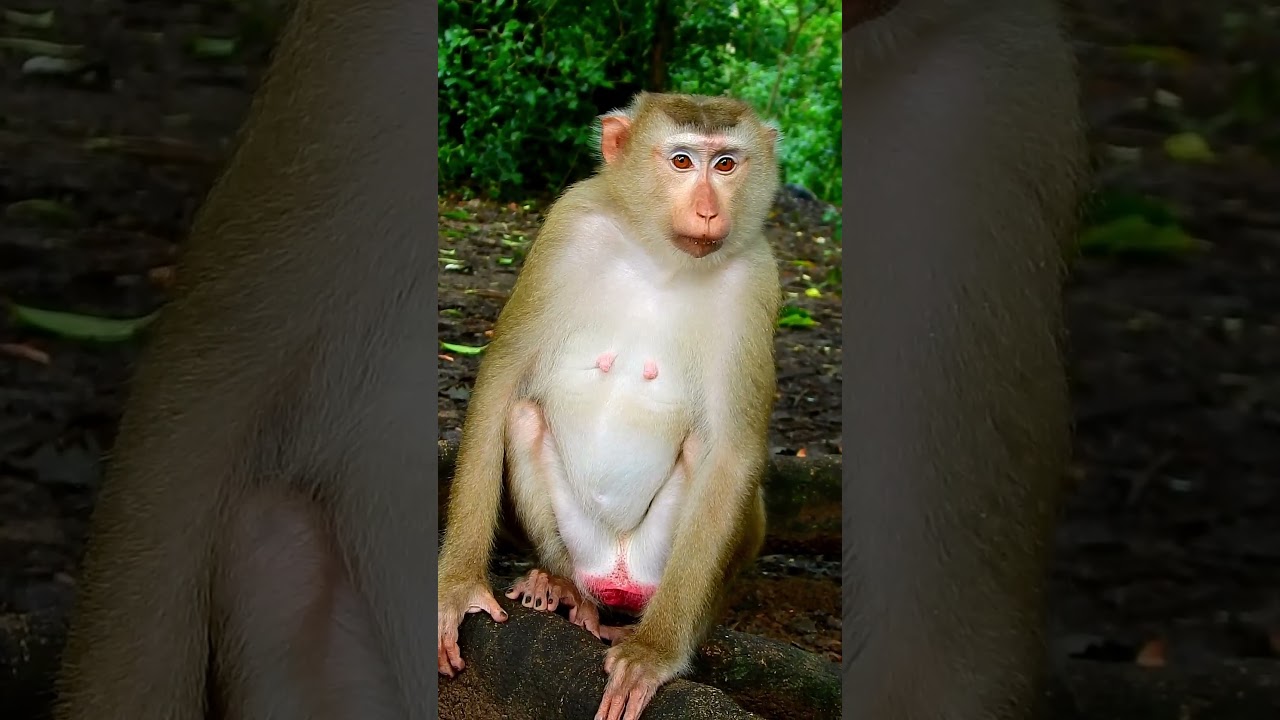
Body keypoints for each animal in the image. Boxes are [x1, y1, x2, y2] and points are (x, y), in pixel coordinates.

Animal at [436, 92, 782, 720]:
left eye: (725, 164)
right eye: (681, 161)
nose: (707, 210)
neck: (662, 259)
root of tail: (619, 572)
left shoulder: (756, 281)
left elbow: (731, 451)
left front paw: (655, 653)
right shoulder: (568, 226)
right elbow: (501, 382)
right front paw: (460, 586)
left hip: (657, 566)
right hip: (583, 548)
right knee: (523, 416)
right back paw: (562, 588)